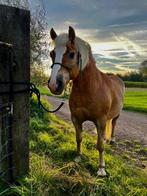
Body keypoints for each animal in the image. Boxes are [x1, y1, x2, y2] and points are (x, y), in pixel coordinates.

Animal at [47, 26, 124, 176]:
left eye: (72, 54)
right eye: (52, 54)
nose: (54, 84)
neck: (89, 89)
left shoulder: (100, 121)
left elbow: (100, 145)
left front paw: (101, 169)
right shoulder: (76, 119)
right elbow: (79, 138)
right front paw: (78, 157)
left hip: (117, 115)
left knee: (114, 124)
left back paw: (112, 140)